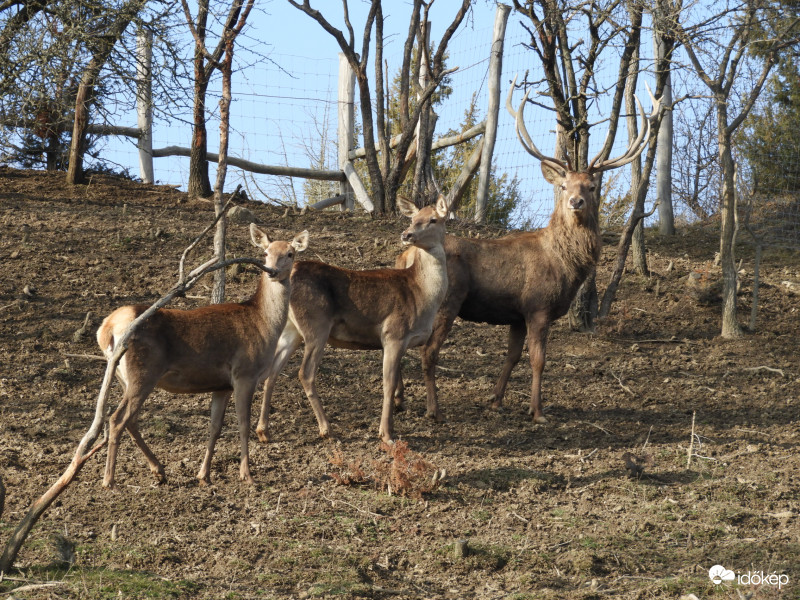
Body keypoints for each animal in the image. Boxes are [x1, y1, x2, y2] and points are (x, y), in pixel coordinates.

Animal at [97, 225, 310, 488]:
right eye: (265, 252)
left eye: (290, 253)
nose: (273, 271)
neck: (263, 323)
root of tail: (107, 329)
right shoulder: (245, 373)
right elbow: (243, 424)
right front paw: (247, 475)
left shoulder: (222, 386)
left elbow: (215, 428)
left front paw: (203, 475)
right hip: (142, 372)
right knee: (118, 419)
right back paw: (109, 480)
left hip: (123, 376)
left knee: (131, 420)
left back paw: (159, 470)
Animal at [255, 195, 450, 442]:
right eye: (413, 218)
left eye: (433, 219)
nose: (407, 234)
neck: (422, 295)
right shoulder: (393, 333)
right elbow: (388, 385)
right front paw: (386, 435)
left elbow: (395, 381)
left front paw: (391, 429)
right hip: (316, 324)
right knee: (305, 373)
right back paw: (327, 430)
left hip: (292, 329)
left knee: (272, 370)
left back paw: (263, 431)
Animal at [396, 81, 664, 422]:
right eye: (564, 186)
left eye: (591, 186)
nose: (575, 201)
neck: (564, 264)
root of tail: (406, 255)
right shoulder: (538, 306)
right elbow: (538, 359)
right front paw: (537, 410)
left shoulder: (517, 315)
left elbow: (511, 356)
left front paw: (495, 400)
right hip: (447, 301)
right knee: (428, 351)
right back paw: (433, 409)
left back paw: (400, 400)